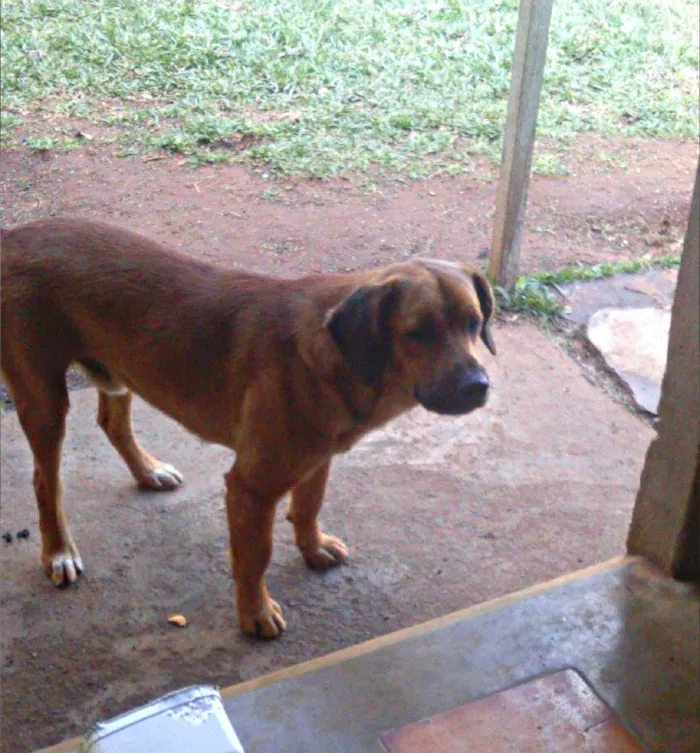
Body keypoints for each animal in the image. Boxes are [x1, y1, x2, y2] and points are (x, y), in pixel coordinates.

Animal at [0, 214, 494, 636]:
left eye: (475, 322)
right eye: (419, 332)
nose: (478, 386)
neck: (336, 359)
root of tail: (13, 236)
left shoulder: (317, 459)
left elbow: (309, 505)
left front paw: (313, 547)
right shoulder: (250, 488)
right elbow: (255, 557)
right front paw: (255, 613)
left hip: (119, 373)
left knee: (111, 422)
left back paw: (148, 471)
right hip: (44, 402)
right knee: (45, 483)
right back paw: (59, 551)